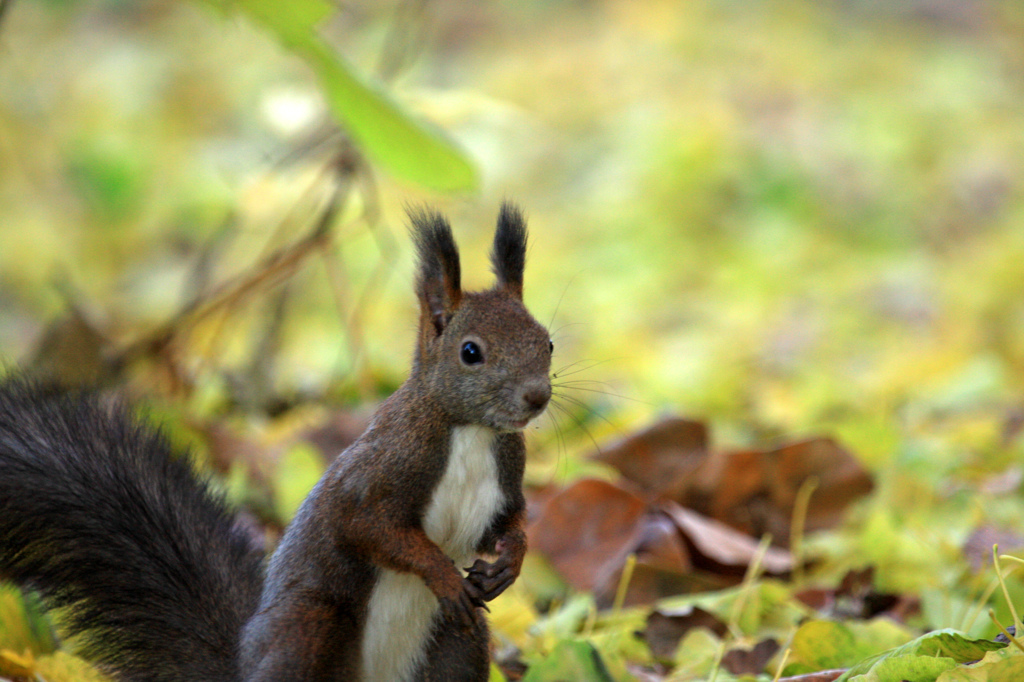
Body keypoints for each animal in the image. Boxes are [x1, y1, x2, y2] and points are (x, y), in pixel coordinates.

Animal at [0, 202, 552, 679]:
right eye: (470, 352)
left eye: (546, 341)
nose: (537, 396)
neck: (471, 432)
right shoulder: (384, 466)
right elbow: (373, 527)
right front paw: (441, 573)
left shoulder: (506, 474)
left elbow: (509, 522)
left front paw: (509, 562)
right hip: (307, 627)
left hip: (458, 643)